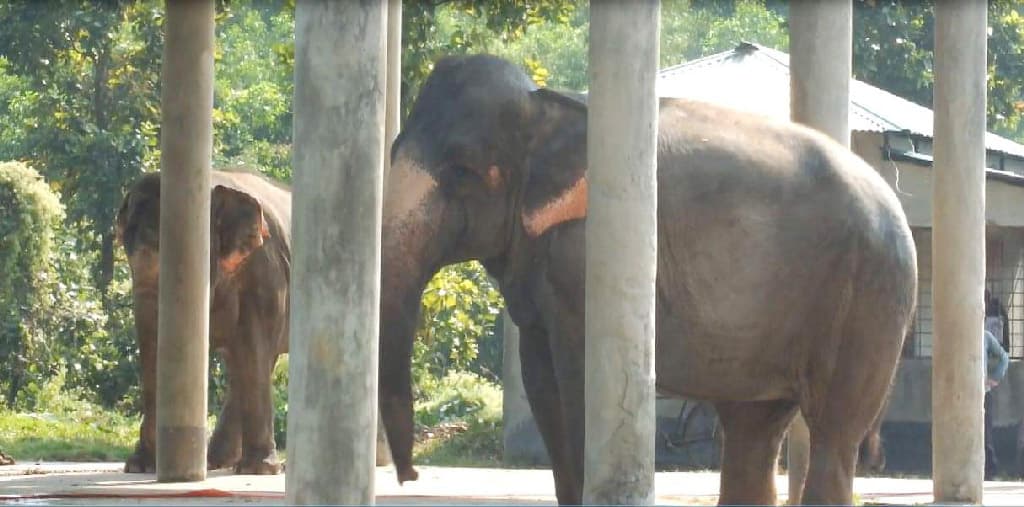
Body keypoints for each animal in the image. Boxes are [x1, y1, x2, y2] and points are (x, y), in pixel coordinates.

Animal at [117, 166, 292, 475]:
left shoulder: (265, 272)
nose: (142, 462)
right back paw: (216, 461)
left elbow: (254, 350)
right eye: (128, 256)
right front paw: (140, 466)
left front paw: (259, 470)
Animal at [378, 53, 921, 505]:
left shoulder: (583, 252)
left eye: (461, 171)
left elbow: (577, 379)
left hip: (868, 296)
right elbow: (541, 384)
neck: (546, 107)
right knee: (752, 429)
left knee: (833, 434)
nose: (410, 475)